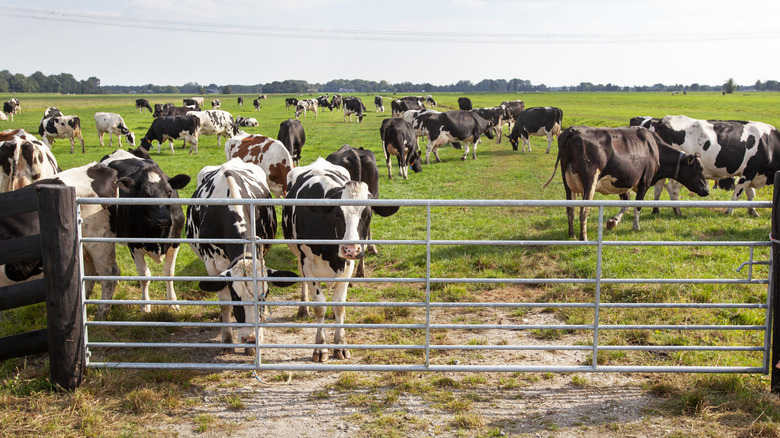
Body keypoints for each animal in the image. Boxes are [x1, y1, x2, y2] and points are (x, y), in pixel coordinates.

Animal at [100, 147, 192, 314]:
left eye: (169, 192)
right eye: (143, 194)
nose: (163, 220)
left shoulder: (175, 242)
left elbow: (169, 272)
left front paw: (172, 301)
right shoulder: (134, 246)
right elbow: (145, 275)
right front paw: (145, 304)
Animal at [187, 159, 298, 354]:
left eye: (265, 295)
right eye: (235, 295)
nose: (250, 339)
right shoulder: (212, 265)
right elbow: (224, 303)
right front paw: (227, 339)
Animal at [282, 159, 402, 362]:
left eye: (367, 215)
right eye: (338, 214)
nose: (351, 249)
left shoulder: (348, 266)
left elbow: (339, 306)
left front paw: (340, 345)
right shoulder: (308, 265)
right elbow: (320, 306)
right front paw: (320, 348)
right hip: (298, 255)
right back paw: (303, 308)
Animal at [544, 126, 708, 241]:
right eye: (698, 169)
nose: (706, 190)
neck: (655, 148)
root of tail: (573, 130)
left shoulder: (624, 181)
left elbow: (626, 203)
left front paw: (614, 221)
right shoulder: (645, 181)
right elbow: (637, 205)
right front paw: (636, 226)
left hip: (567, 182)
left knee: (570, 209)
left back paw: (571, 234)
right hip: (590, 181)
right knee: (583, 211)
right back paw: (583, 238)